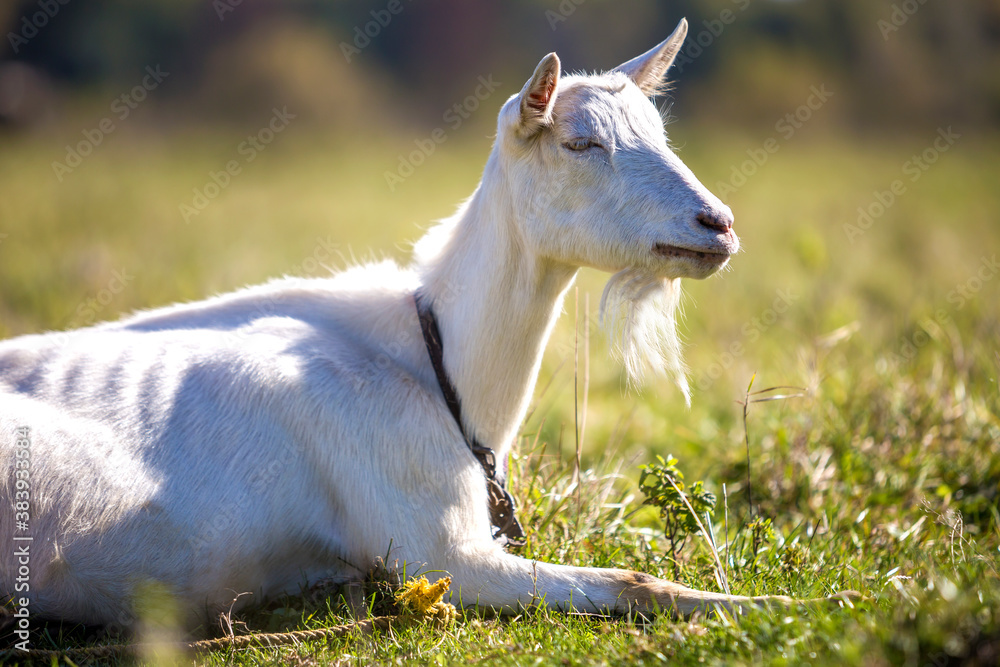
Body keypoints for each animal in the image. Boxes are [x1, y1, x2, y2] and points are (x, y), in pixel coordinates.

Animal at [1, 19, 856, 632]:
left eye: (661, 134)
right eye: (581, 142)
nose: (718, 224)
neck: (434, 360)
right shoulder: (437, 549)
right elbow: (635, 579)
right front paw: (797, 607)